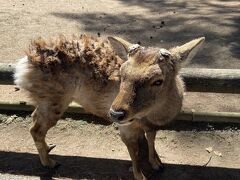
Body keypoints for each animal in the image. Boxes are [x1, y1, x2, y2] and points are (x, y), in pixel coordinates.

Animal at [13, 34, 204, 180]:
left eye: (158, 80)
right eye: (121, 73)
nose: (115, 113)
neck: (155, 115)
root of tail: (23, 66)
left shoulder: (148, 125)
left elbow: (151, 138)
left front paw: (157, 163)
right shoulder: (126, 127)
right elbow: (133, 152)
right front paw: (140, 175)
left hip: (45, 100)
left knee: (34, 119)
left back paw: (48, 150)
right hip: (54, 101)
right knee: (36, 129)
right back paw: (50, 162)